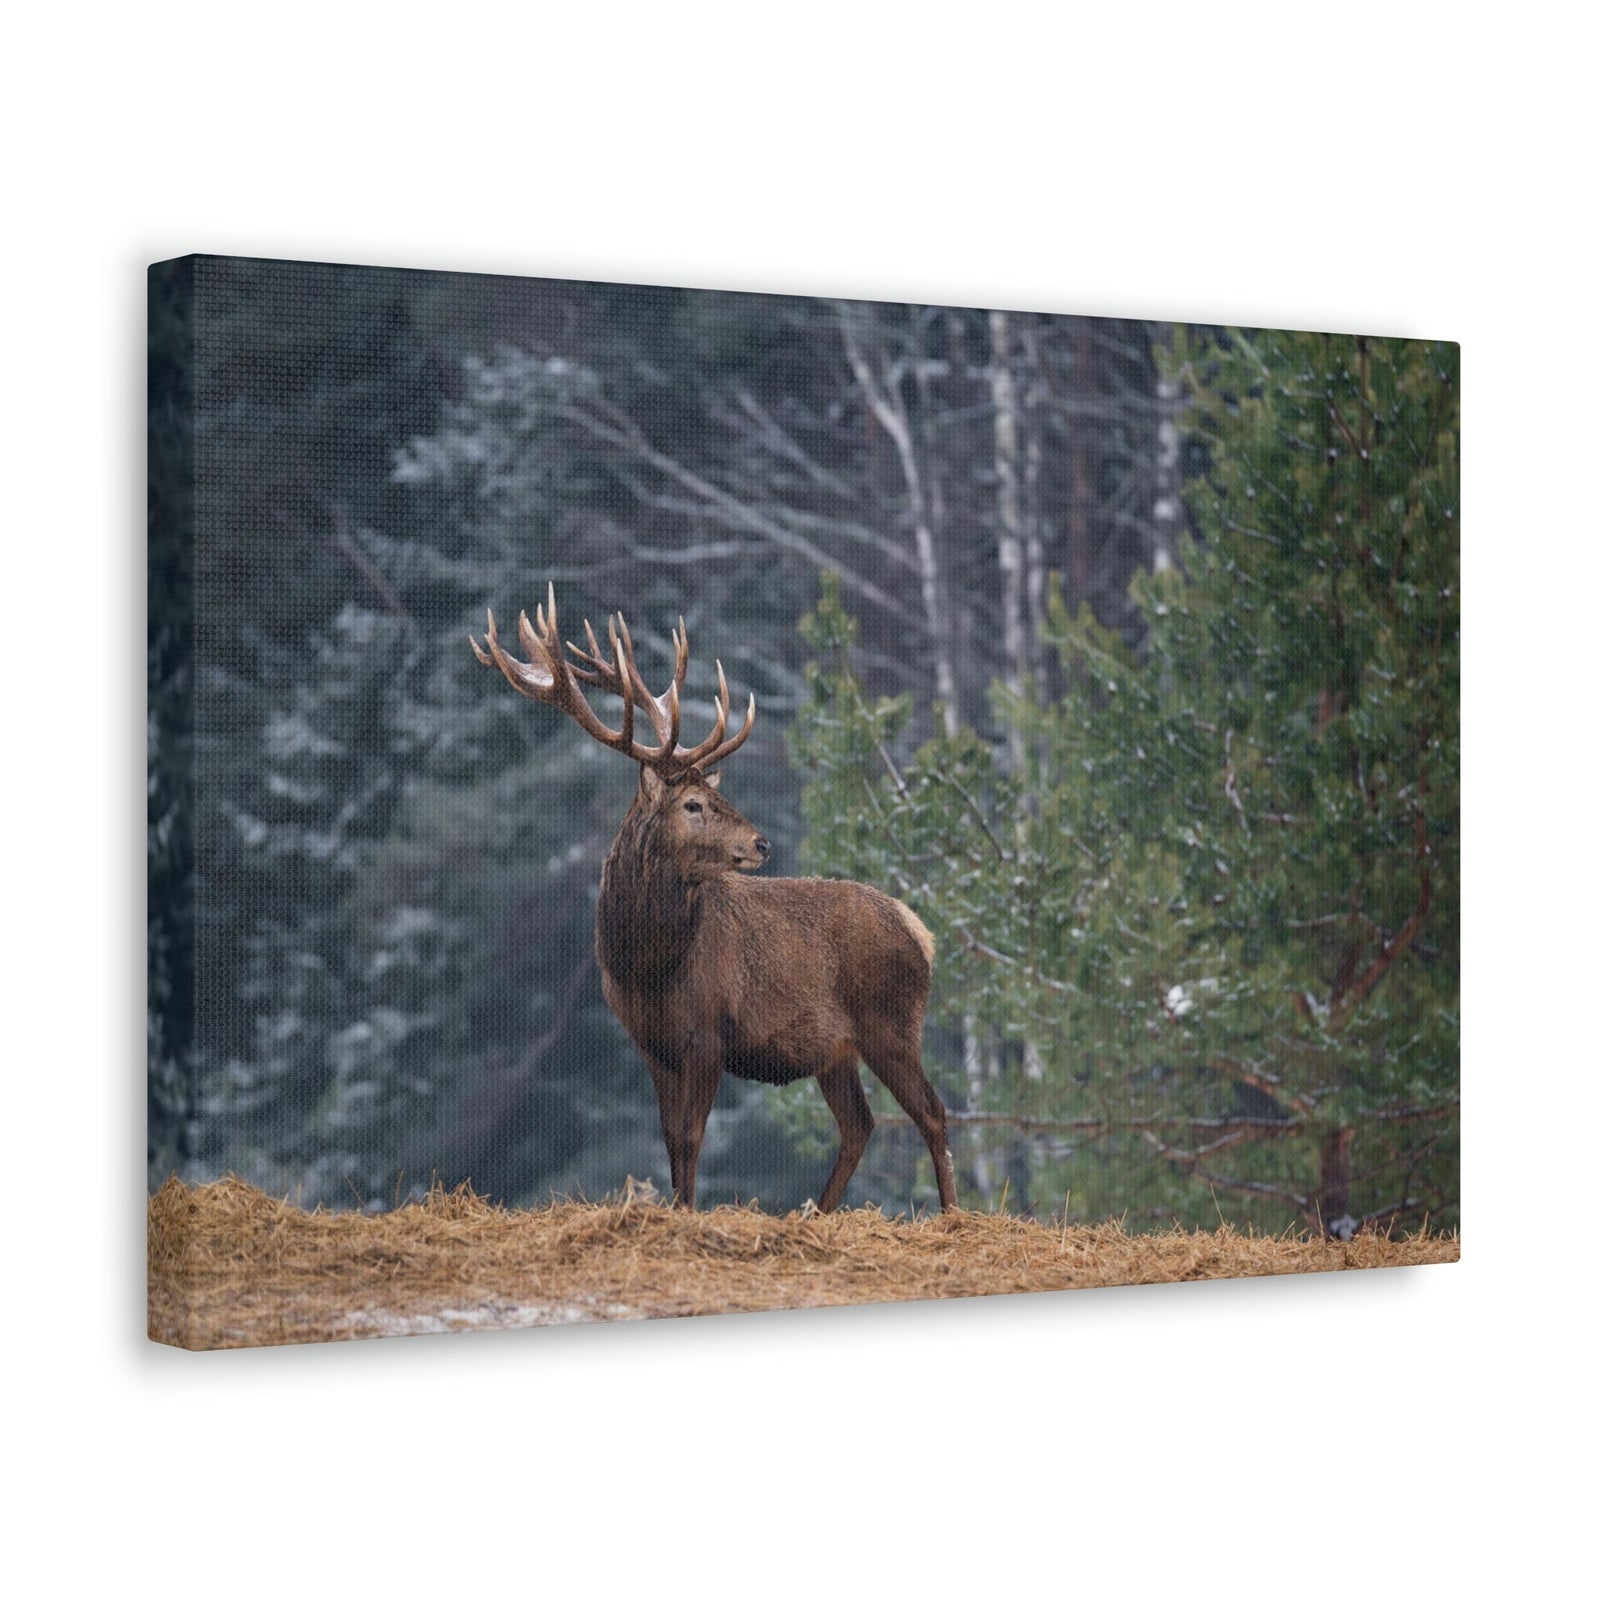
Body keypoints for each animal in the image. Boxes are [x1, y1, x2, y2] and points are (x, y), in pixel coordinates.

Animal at [471, 586, 958, 1214]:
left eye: (709, 797)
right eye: (693, 804)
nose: (762, 842)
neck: (645, 967)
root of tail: (919, 929)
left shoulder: (707, 1033)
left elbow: (691, 1135)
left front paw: (687, 1211)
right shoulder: (651, 1044)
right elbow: (668, 1137)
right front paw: (677, 1206)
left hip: (891, 1020)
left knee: (931, 1111)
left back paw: (952, 1215)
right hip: (837, 1049)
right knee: (860, 1123)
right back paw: (817, 1212)